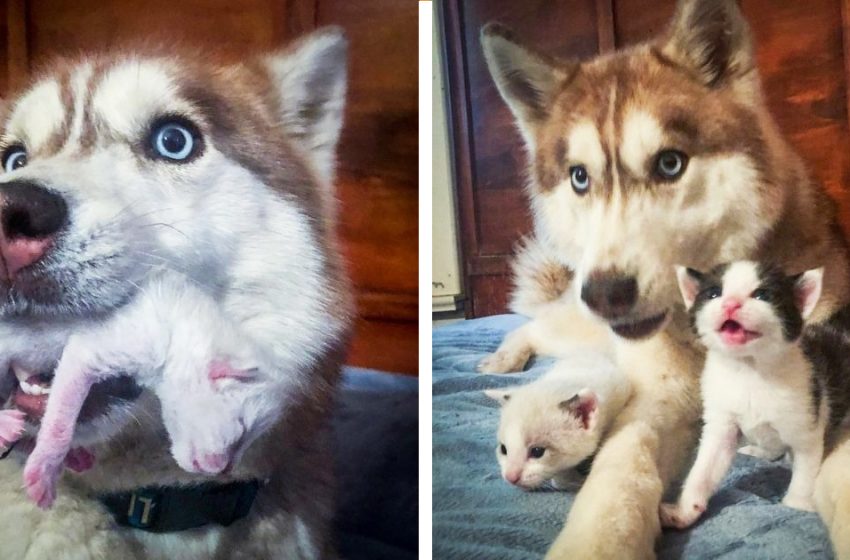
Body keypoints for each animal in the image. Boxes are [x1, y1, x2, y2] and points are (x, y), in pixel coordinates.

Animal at [660, 260, 844, 528]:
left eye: (762, 295)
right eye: (714, 293)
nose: (730, 303)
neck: (749, 371)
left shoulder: (807, 421)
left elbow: (804, 471)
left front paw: (796, 505)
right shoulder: (721, 423)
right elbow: (704, 468)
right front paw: (685, 509)